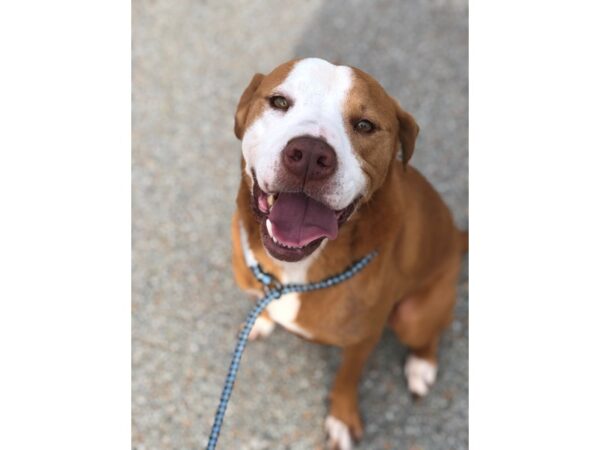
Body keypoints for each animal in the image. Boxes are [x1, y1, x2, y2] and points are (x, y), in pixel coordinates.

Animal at [230, 58, 468, 448]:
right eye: (279, 102)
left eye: (364, 125)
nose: (311, 155)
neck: (295, 272)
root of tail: (456, 234)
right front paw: (261, 320)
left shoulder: (363, 339)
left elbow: (346, 377)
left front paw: (341, 418)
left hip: (413, 315)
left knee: (431, 333)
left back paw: (422, 365)